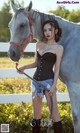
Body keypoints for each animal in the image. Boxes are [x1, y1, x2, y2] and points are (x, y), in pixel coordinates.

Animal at [8, 1, 80, 132]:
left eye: (22, 25)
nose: (12, 53)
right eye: (10, 25)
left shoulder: (74, 85)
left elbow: (76, 117)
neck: (68, 40)